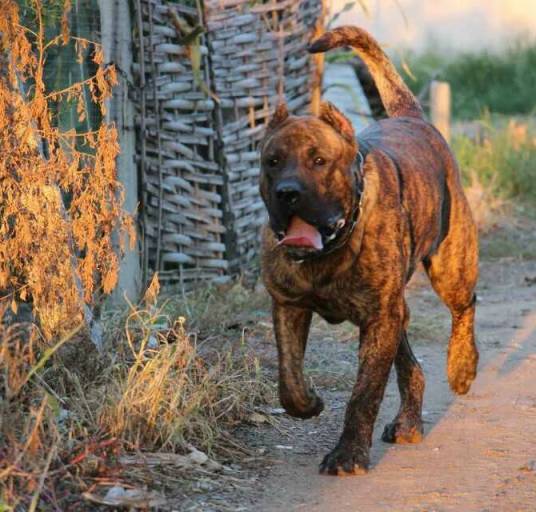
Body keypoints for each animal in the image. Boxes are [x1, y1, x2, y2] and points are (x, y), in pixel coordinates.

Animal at [258, 27, 478, 476]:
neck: (331, 251)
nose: (288, 193)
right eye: (272, 161)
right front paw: (308, 401)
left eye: (318, 160)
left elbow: (364, 393)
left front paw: (347, 455)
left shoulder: (379, 318)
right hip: (397, 311)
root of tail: (413, 118)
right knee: (411, 366)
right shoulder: (289, 305)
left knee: (464, 309)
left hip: (450, 267)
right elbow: (288, 376)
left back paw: (462, 368)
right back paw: (408, 422)